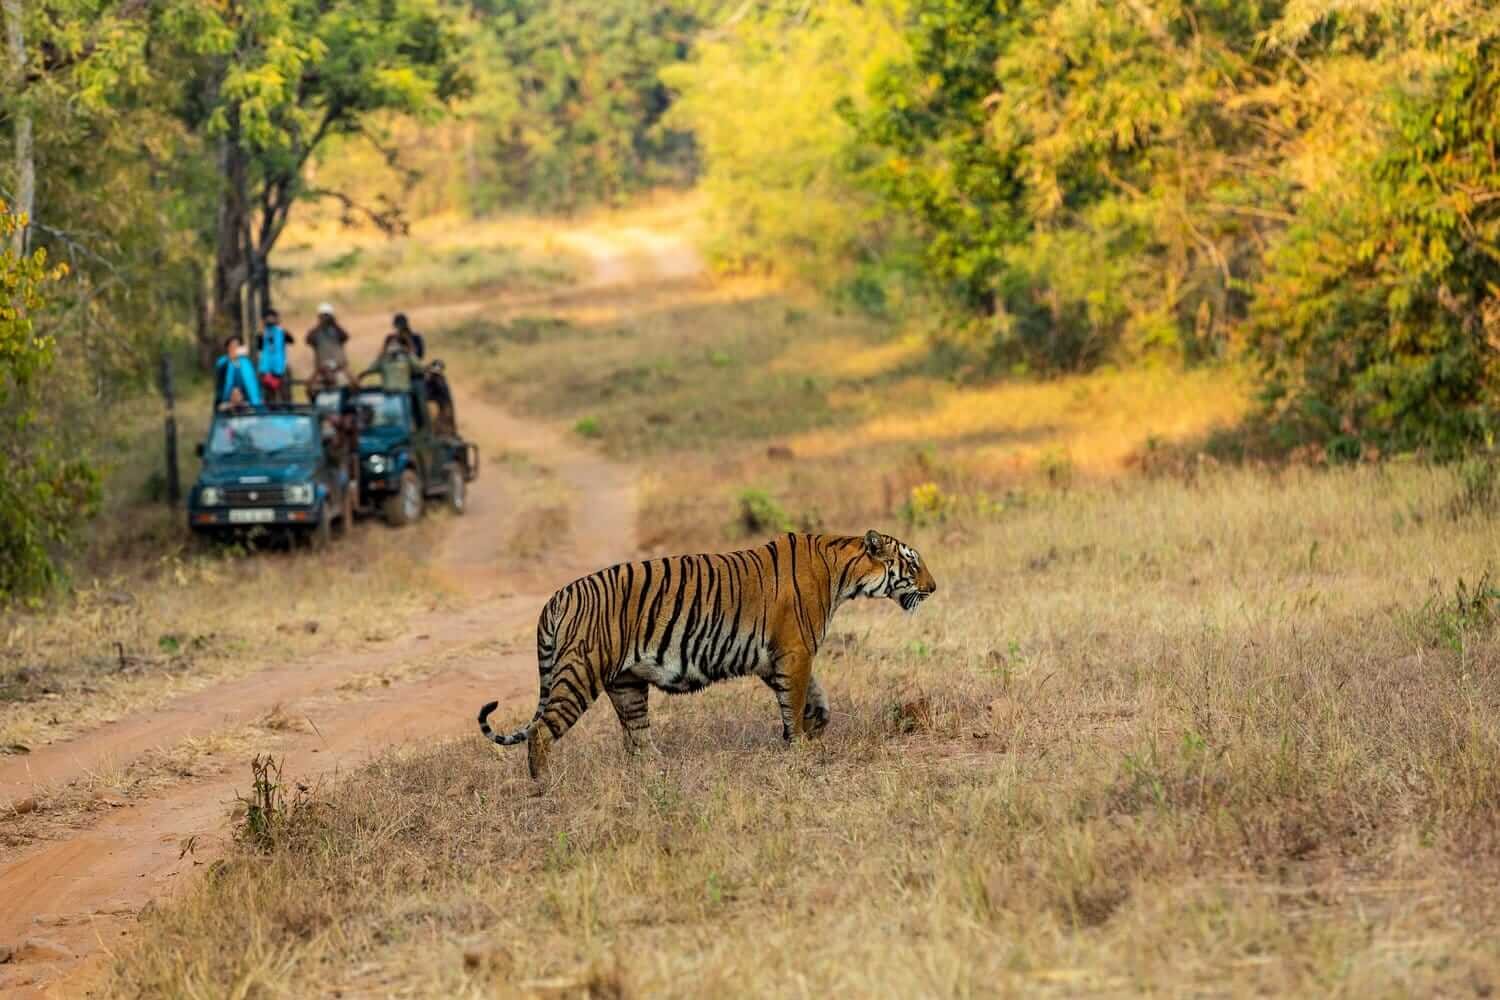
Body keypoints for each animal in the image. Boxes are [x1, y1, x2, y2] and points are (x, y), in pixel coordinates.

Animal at [477, 530, 938, 782]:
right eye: (913, 564)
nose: (933, 588)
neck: (844, 572)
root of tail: (557, 596)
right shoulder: (795, 651)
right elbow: (796, 701)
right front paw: (800, 746)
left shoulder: (776, 658)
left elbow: (816, 699)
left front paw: (815, 729)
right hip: (580, 673)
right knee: (541, 732)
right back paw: (543, 786)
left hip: (626, 685)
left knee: (637, 738)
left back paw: (659, 770)